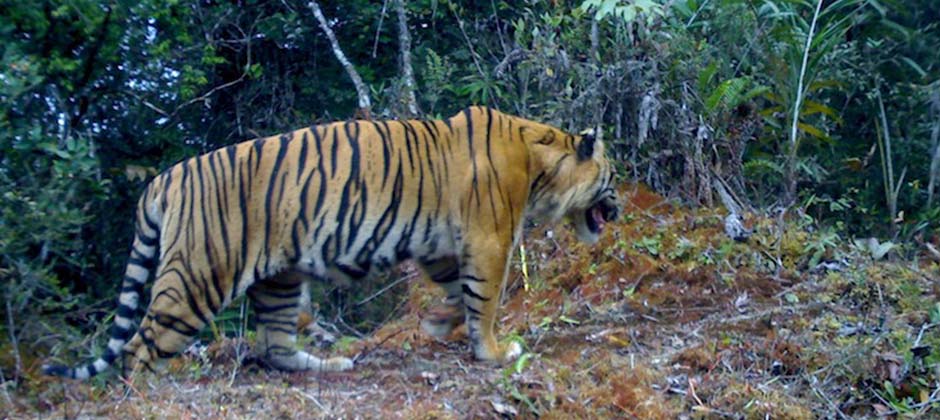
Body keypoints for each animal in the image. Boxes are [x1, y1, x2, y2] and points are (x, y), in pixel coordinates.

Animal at [42, 106, 620, 380]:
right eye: (612, 177)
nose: (617, 209)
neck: (541, 162)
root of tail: (164, 178)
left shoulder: (442, 247)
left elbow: (459, 294)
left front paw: (437, 323)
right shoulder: (488, 239)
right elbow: (486, 300)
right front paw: (495, 352)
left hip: (278, 277)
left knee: (274, 346)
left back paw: (331, 365)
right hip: (199, 275)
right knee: (140, 347)